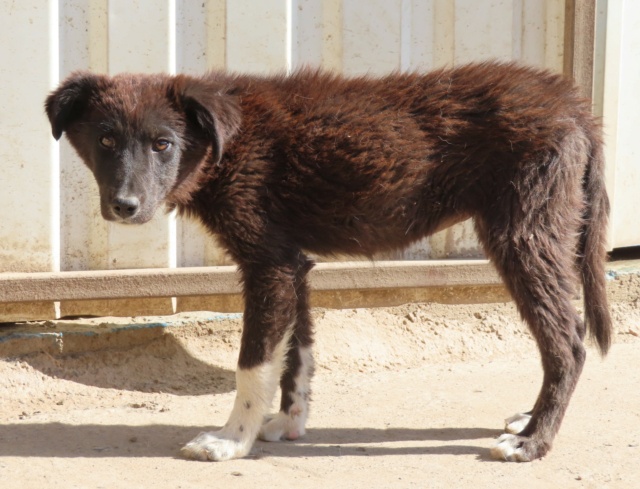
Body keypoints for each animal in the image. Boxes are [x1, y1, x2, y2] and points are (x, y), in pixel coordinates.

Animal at [43, 61, 608, 462]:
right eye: (106, 139)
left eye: (163, 144)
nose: (124, 206)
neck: (225, 144)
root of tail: (574, 103)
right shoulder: (293, 265)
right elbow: (298, 352)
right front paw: (289, 423)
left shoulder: (267, 265)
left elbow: (252, 363)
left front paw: (232, 439)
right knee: (567, 336)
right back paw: (528, 421)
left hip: (524, 235)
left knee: (568, 344)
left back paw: (533, 442)